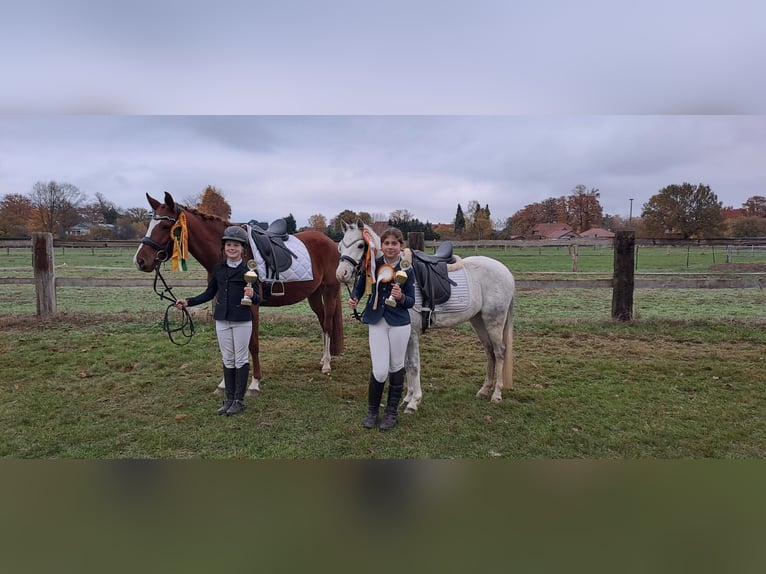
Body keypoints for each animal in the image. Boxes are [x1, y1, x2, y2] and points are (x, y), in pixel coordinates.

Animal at [134, 191, 344, 395]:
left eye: (165, 225)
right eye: (149, 224)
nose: (140, 260)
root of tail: (332, 244)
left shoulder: (252, 305)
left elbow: (253, 344)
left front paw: (255, 383)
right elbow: (227, 346)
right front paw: (224, 383)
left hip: (329, 291)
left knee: (327, 324)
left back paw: (326, 364)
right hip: (313, 294)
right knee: (322, 322)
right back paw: (323, 358)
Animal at [336, 220, 515, 412]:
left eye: (361, 246)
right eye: (340, 247)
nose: (341, 274)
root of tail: (506, 271)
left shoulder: (411, 333)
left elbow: (413, 365)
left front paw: (414, 401)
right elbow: (405, 364)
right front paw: (407, 397)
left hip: (494, 320)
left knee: (499, 352)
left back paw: (496, 394)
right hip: (478, 320)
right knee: (490, 352)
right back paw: (484, 390)